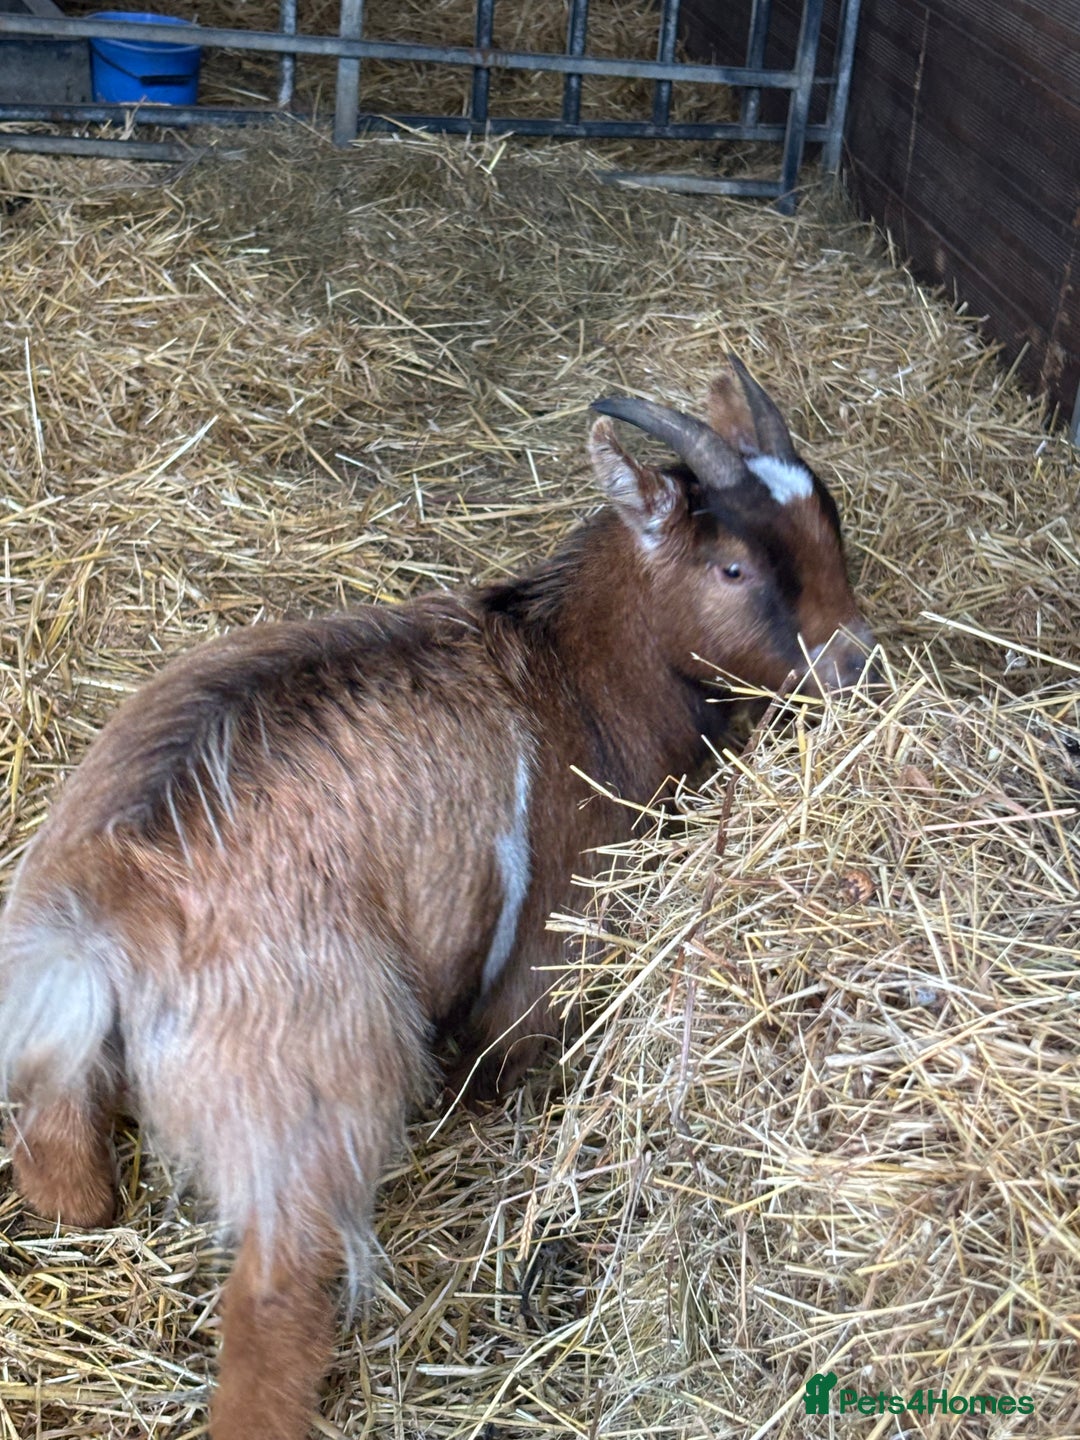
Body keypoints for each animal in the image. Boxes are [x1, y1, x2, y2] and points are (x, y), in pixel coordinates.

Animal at [0, 357, 872, 1440]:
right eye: (734, 571)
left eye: (832, 524)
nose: (859, 661)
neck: (570, 676)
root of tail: (114, 900)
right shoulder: (550, 942)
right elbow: (500, 1054)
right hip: (312, 1079)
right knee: (279, 1295)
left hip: (67, 1024)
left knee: (57, 1150)